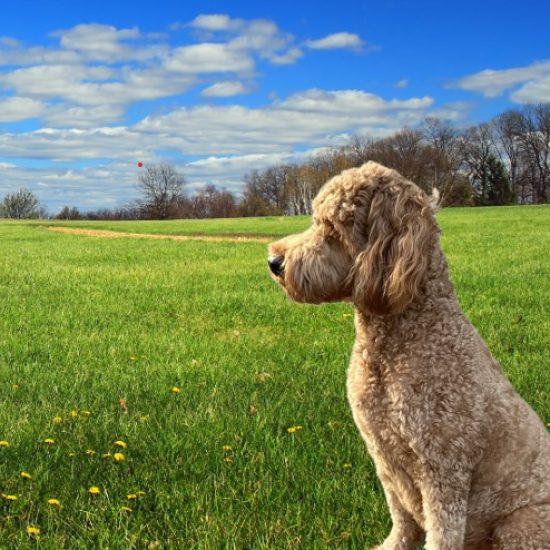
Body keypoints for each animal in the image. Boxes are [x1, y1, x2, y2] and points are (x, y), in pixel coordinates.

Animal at [268, 162, 550, 548]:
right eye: (315, 221)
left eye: (333, 228)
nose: (274, 260)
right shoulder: (384, 457)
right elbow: (401, 518)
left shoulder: (443, 469)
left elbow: (441, 533)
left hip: (522, 523)